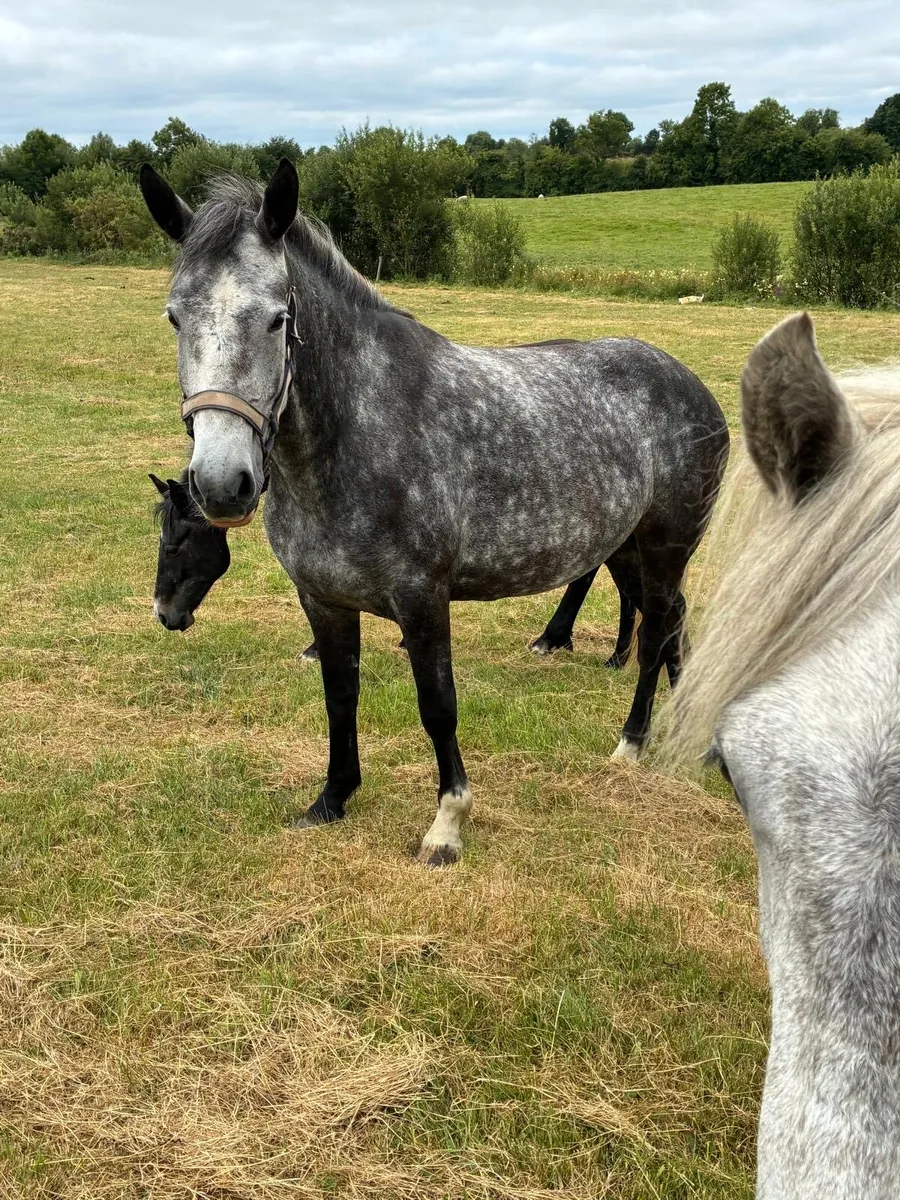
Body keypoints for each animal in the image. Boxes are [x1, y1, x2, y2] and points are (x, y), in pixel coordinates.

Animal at [139, 158, 728, 865]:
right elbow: (340, 695)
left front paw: (447, 825)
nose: (223, 483)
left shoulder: (422, 598)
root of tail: (694, 387)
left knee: (656, 632)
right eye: (175, 318)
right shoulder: (324, 599)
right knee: (672, 626)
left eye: (279, 318)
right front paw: (332, 798)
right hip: (635, 547)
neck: (357, 433)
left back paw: (632, 745)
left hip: (664, 548)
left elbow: (437, 706)